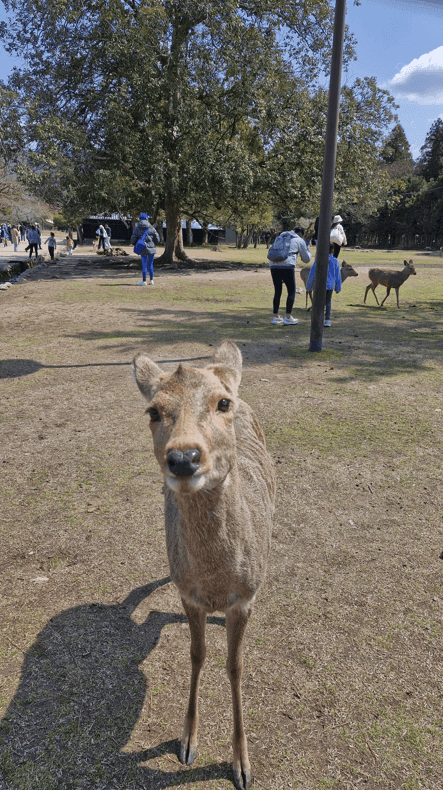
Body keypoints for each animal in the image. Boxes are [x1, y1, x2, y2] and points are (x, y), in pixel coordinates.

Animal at [133, 340, 275, 790]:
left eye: (222, 402)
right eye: (153, 411)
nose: (183, 457)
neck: (215, 582)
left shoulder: (244, 598)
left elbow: (235, 665)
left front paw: (242, 764)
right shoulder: (188, 594)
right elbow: (197, 655)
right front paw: (186, 742)